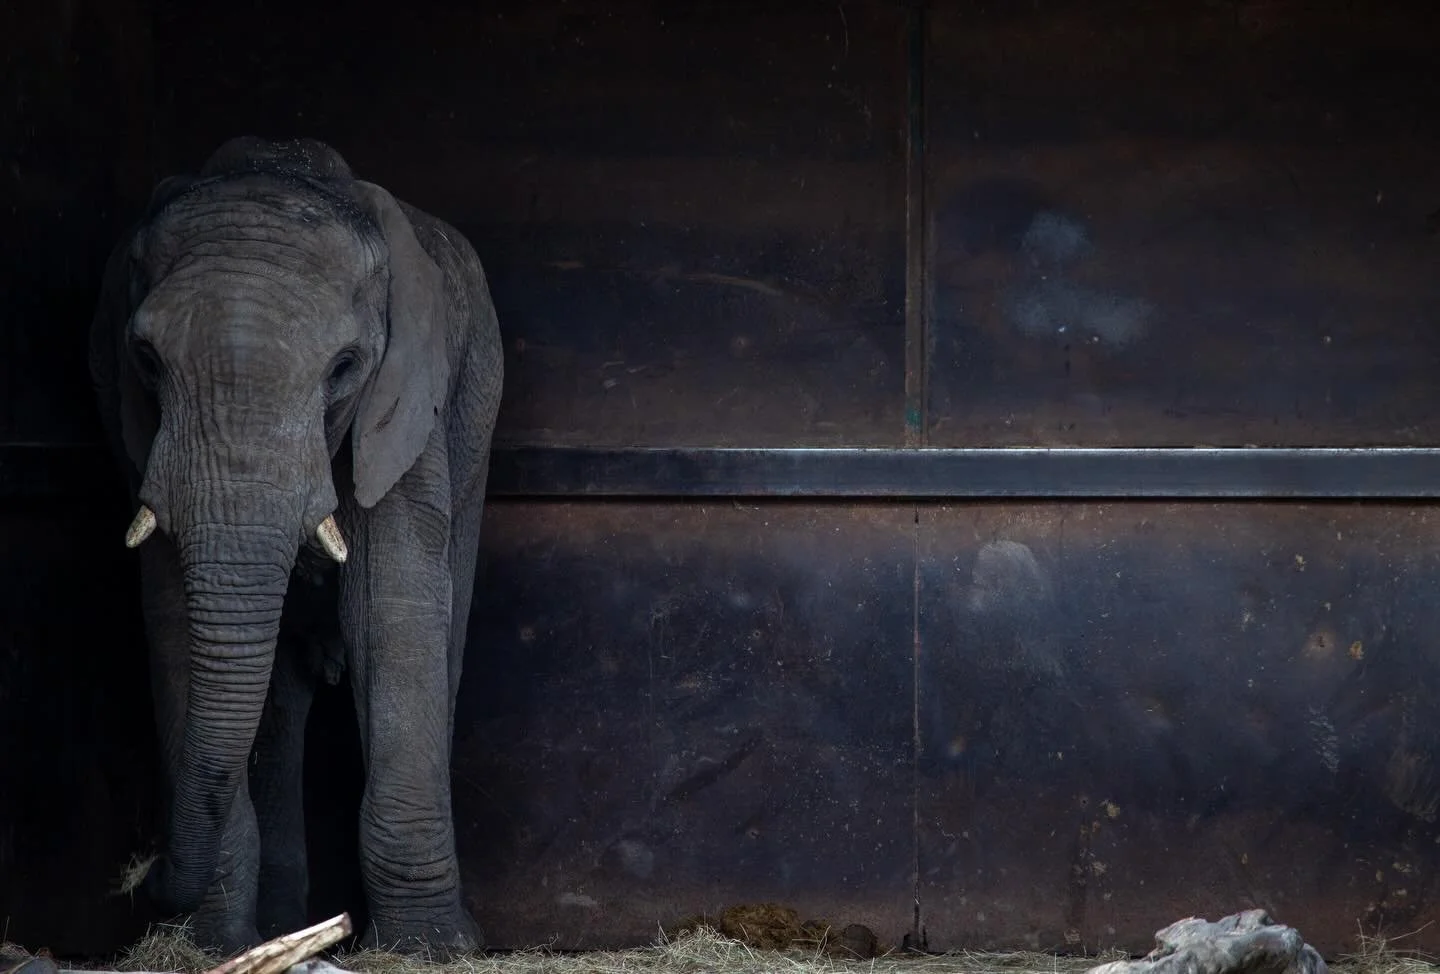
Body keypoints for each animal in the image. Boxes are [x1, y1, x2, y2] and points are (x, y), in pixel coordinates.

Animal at [87, 136, 504, 955]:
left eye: (344, 368)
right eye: (146, 360)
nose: (145, 882)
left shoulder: (404, 407)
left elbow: (391, 608)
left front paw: (428, 949)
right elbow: (172, 619)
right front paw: (212, 945)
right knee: (277, 702)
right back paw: (279, 931)